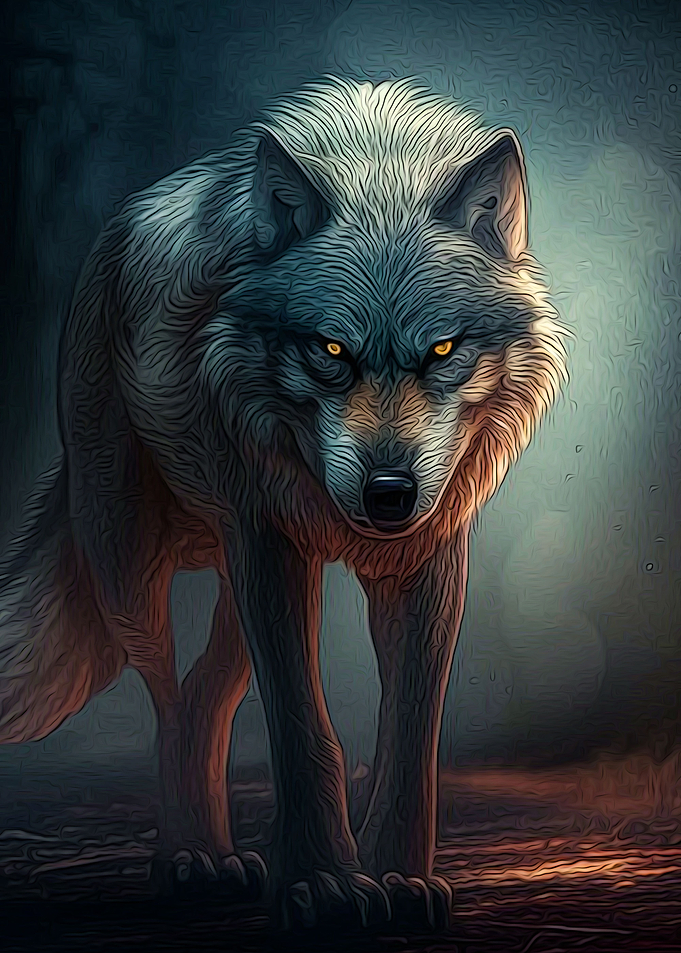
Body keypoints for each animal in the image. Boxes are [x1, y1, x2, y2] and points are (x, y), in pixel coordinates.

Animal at [0, 78, 566, 929]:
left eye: (441, 349)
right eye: (330, 350)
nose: (389, 493)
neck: (380, 162)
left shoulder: (426, 559)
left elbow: (409, 734)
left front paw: (396, 877)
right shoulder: (271, 544)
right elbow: (305, 730)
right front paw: (324, 881)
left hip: (235, 582)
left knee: (206, 694)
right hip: (132, 563)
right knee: (169, 697)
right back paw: (192, 857)